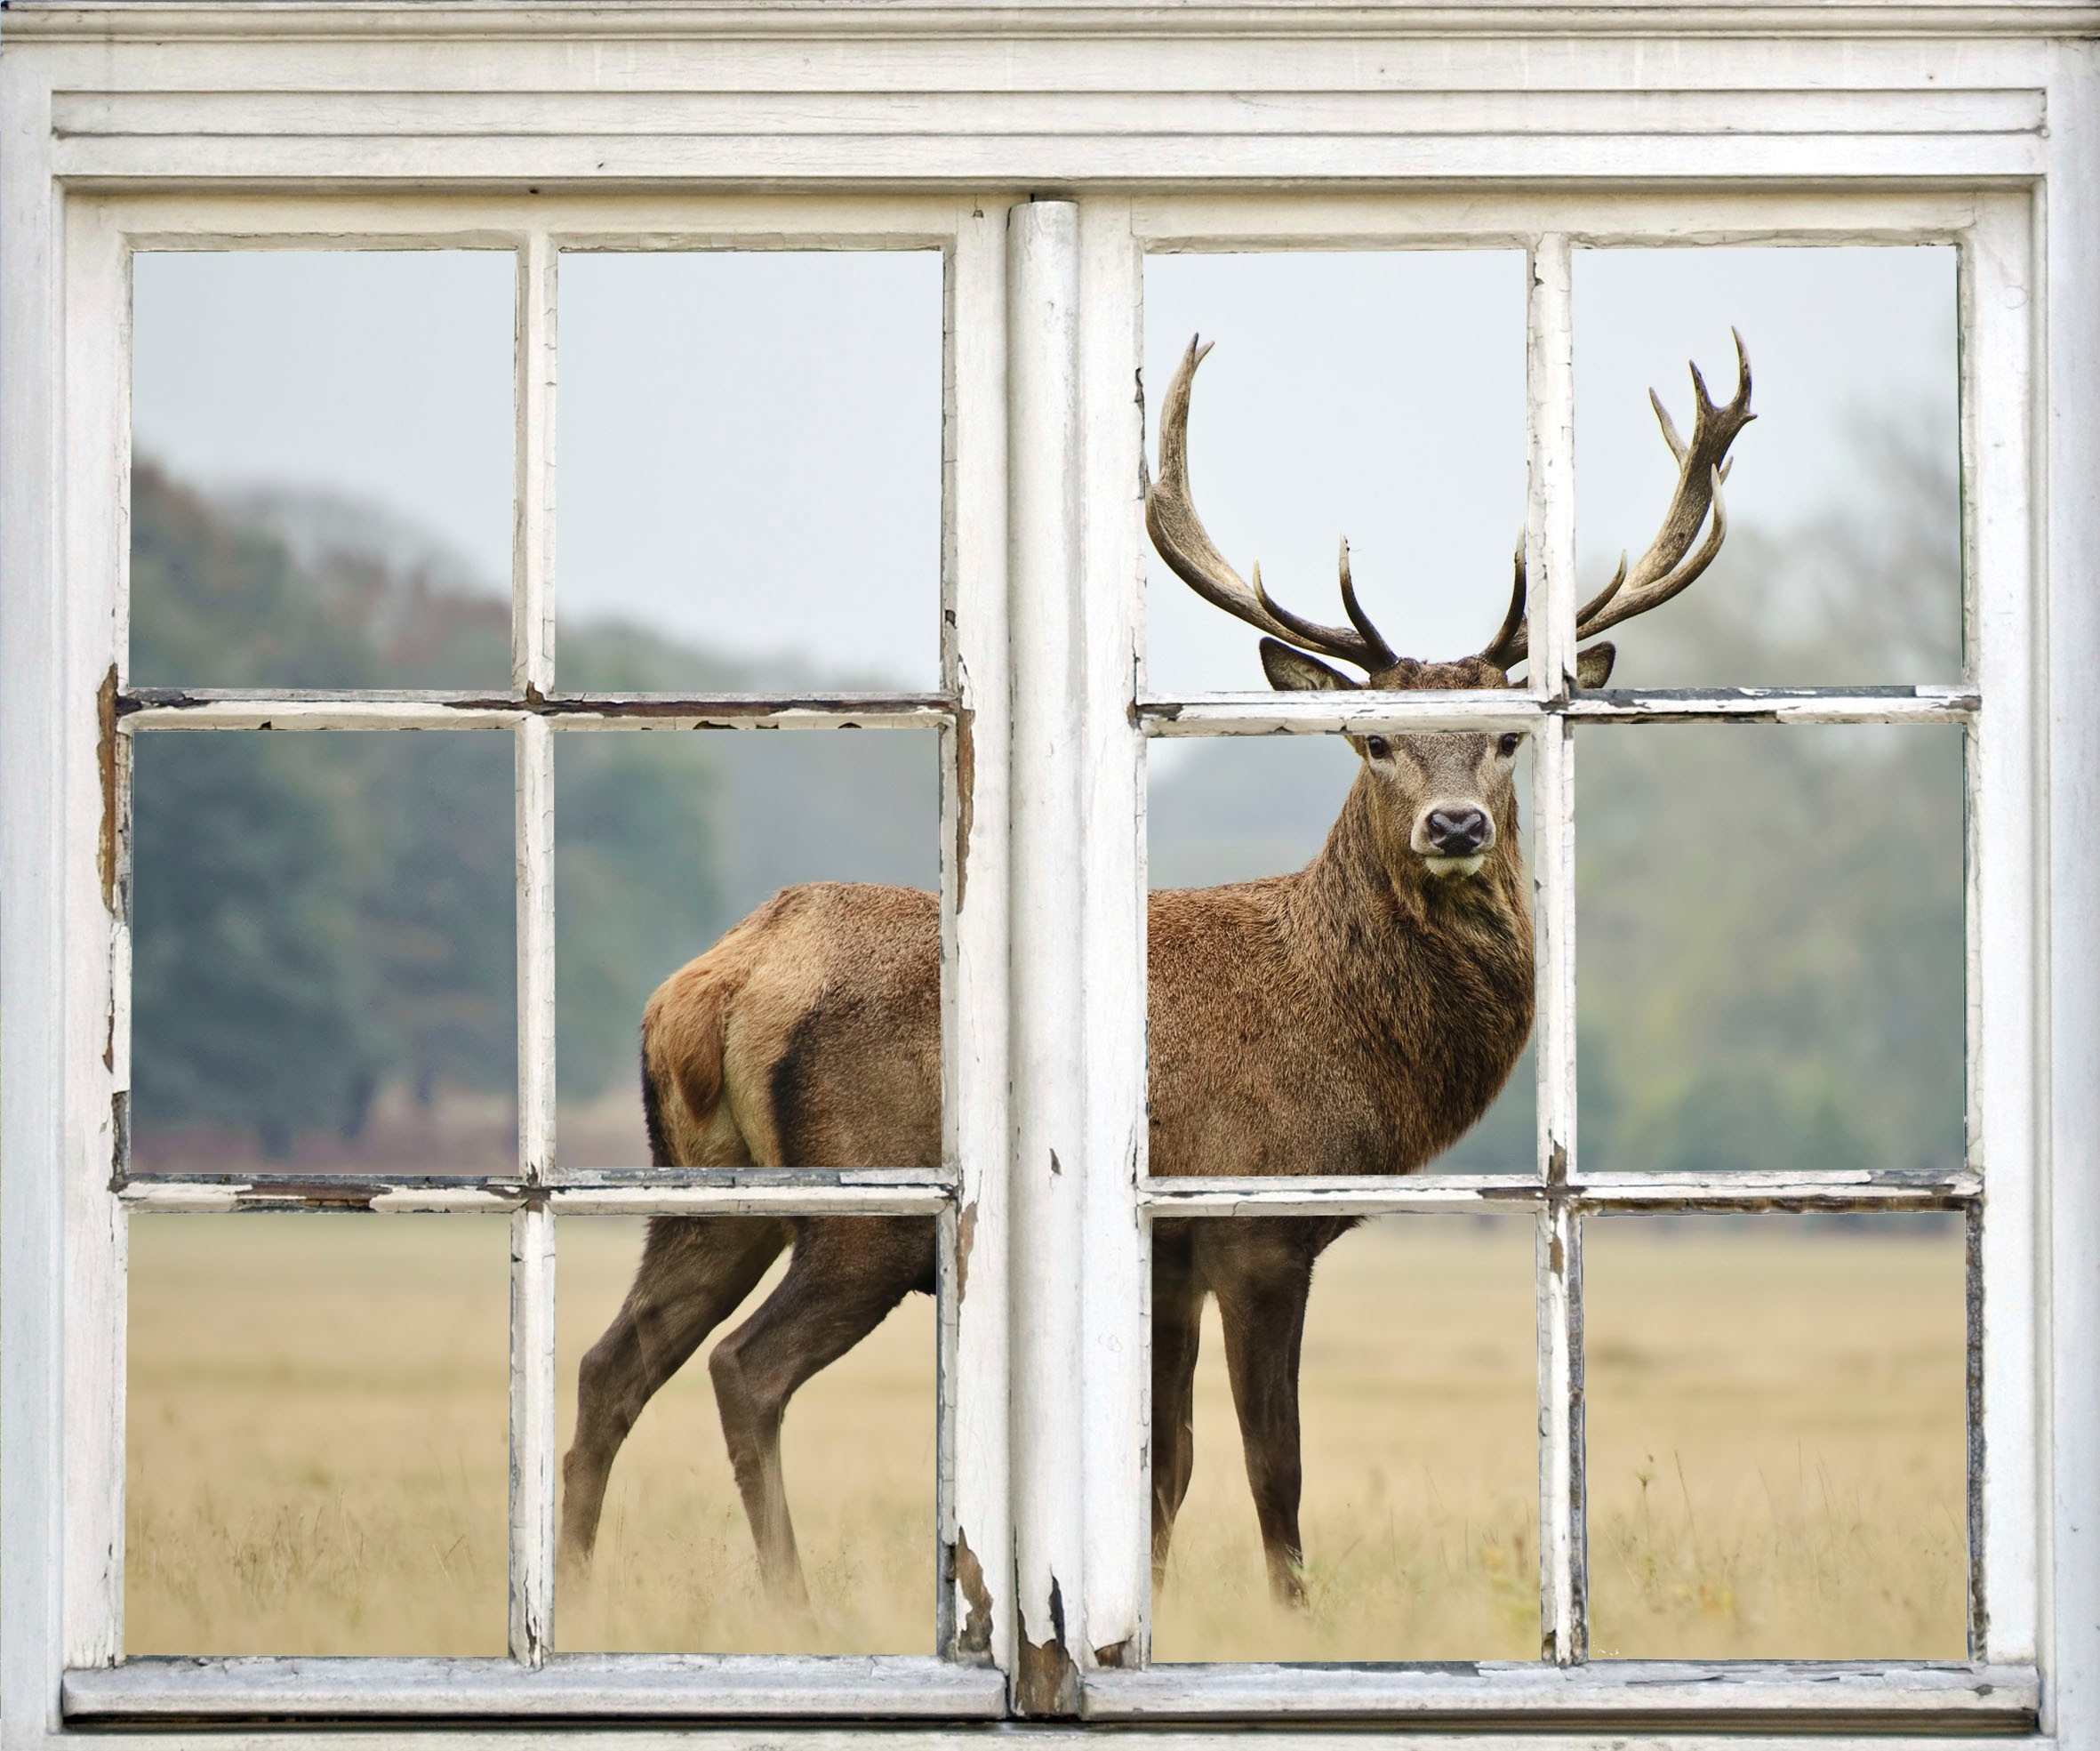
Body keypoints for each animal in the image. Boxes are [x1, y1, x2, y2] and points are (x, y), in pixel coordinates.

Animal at [557, 331, 1755, 1619]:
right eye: (1373, 738)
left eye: (1506, 739)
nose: (1454, 825)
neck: (1352, 1039)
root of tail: (718, 982)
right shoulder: (1252, 1225)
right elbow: (1272, 1463)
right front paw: (1294, 1619)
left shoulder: (1167, 1260)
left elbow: (1165, 1468)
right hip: (864, 1203)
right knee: (745, 1369)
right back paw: (789, 1598)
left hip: (701, 1184)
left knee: (612, 1362)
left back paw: (575, 1587)